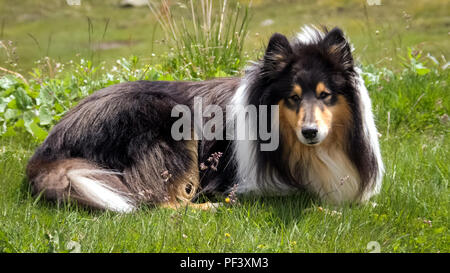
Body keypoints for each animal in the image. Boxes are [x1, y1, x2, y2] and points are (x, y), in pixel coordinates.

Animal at [25, 26, 384, 212]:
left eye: (325, 95)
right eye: (293, 97)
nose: (310, 132)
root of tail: (52, 144)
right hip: (170, 121)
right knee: (159, 203)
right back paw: (212, 207)